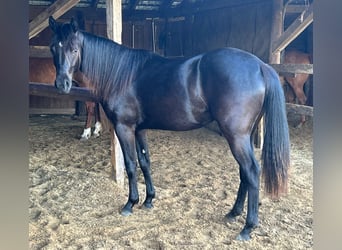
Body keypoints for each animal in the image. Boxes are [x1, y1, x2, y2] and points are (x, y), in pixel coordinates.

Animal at [48, 17, 288, 240]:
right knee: (244, 173)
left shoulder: (124, 128)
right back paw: (233, 213)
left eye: (74, 49)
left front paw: (130, 203)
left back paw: (247, 227)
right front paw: (149, 200)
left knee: (251, 171)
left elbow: (131, 165)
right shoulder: (140, 129)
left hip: (236, 136)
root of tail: (260, 66)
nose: (62, 85)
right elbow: (145, 161)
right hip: (244, 136)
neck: (121, 74)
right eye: (53, 47)